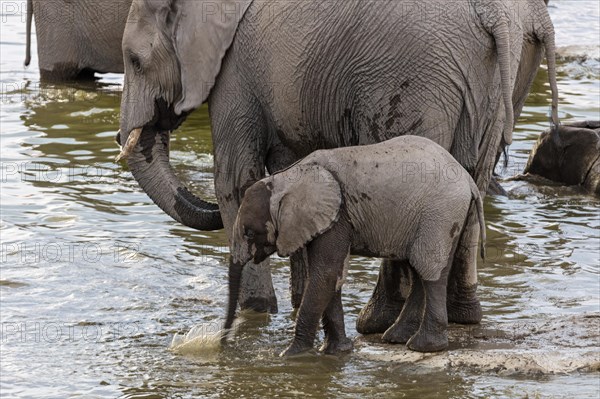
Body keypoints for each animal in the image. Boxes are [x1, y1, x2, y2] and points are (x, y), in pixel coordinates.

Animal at [116, 0, 556, 324]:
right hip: (506, 80)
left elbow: (235, 180)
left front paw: (257, 311)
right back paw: (461, 318)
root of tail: (496, 14)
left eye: (135, 61)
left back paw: (377, 323)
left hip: (417, 78)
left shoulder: (236, 67)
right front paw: (295, 304)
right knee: (472, 188)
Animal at [223, 135, 486, 356]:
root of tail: (468, 180)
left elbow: (325, 274)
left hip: (440, 214)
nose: (223, 342)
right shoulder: (320, 221)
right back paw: (397, 338)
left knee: (428, 268)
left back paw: (423, 347)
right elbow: (331, 276)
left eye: (249, 233)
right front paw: (337, 351)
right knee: (419, 269)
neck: (287, 177)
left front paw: (291, 355)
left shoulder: (337, 215)